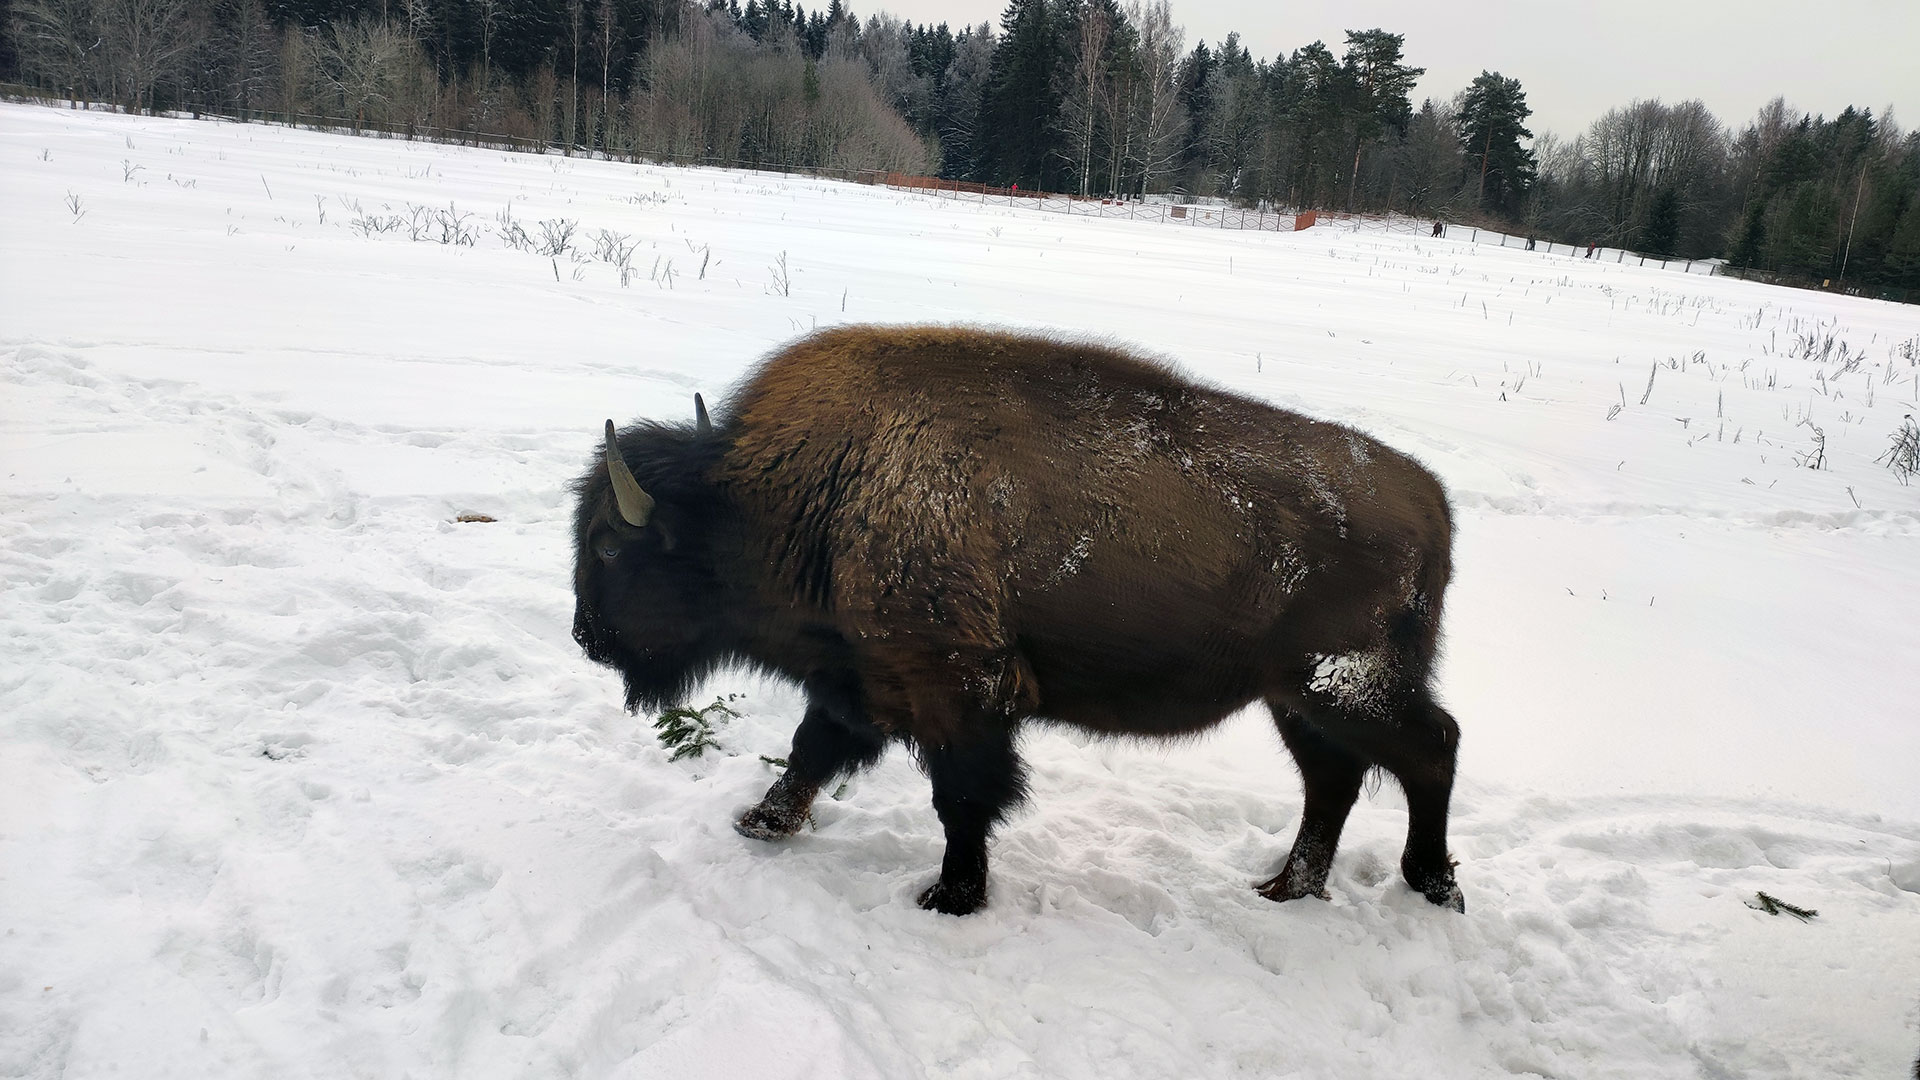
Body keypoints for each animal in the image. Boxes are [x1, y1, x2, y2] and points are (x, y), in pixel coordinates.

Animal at [576, 322, 1459, 910]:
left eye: (611, 547)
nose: (586, 636)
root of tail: (1432, 500)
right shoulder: (858, 679)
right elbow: (810, 750)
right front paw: (759, 823)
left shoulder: (959, 693)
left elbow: (962, 799)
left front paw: (951, 897)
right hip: (1294, 699)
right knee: (1335, 780)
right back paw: (1285, 887)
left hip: (1343, 688)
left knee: (1430, 749)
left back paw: (1430, 885)